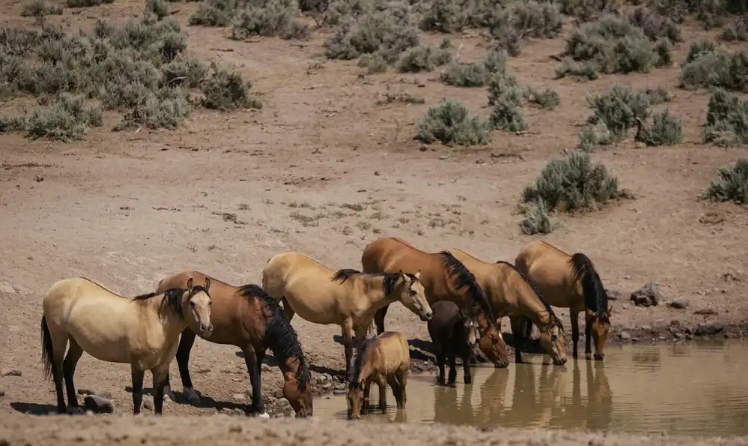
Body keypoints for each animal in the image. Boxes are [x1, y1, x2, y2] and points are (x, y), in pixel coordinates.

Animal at [39, 278, 212, 416]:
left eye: (210, 302)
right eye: (192, 303)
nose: (207, 327)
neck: (156, 322)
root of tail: (56, 287)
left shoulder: (161, 368)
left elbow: (157, 399)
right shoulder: (138, 366)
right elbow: (137, 396)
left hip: (76, 342)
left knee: (68, 369)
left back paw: (74, 407)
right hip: (59, 337)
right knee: (58, 371)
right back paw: (62, 409)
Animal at [156, 272, 312, 418]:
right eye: (301, 386)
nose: (308, 413)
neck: (261, 316)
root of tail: (164, 282)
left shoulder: (260, 350)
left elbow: (258, 378)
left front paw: (254, 407)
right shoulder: (248, 348)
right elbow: (255, 379)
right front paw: (261, 411)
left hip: (189, 330)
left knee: (182, 355)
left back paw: (190, 393)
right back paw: (167, 393)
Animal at [262, 251, 432, 380]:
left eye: (423, 290)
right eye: (413, 291)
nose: (429, 314)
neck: (363, 292)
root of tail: (273, 259)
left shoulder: (362, 326)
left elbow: (361, 349)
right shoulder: (346, 323)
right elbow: (349, 349)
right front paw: (348, 376)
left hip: (288, 305)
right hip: (273, 299)